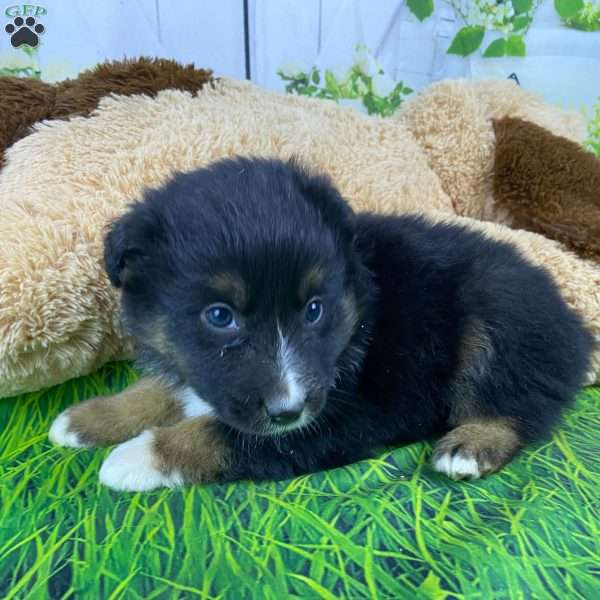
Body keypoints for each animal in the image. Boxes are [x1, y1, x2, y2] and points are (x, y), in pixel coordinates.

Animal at [48, 157, 592, 490]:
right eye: (219, 317)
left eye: (314, 309)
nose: (288, 411)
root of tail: (574, 323)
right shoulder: (207, 373)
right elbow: (163, 389)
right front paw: (89, 418)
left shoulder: (346, 412)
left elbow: (223, 435)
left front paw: (136, 457)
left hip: (500, 310)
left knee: (520, 403)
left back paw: (471, 446)